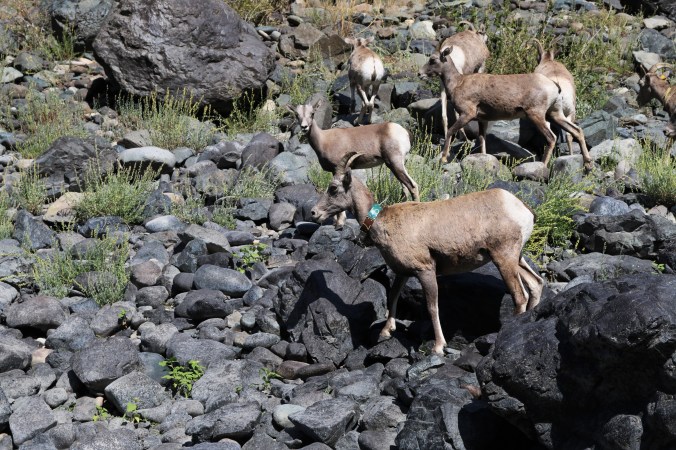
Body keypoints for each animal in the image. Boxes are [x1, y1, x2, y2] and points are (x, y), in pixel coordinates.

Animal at [287, 98, 420, 227]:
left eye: (312, 113)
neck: (323, 140)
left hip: (394, 163)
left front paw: (339, 223)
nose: (304, 127)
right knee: (405, 188)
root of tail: (404, 131)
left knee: (412, 186)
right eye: (297, 115)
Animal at [310, 152, 544, 355]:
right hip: (516, 258)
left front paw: (438, 347)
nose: (314, 213)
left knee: (520, 296)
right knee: (536, 284)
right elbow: (393, 296)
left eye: (333, 188)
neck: (381, 221)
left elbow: (432, 307)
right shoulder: (403, 272)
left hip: (503, 258)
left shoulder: (425, 270)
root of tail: (523, 209)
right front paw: (386, 332)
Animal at [420, 45, 592, 168]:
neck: (458, 83)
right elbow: (482, 141)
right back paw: (588, 163)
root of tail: (554, 85)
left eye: (433, 60)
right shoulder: (482, 120)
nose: (420, 74)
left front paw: (443, 158)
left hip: (537, 115)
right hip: (555, 114)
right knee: (576, 131)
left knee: (551, 138)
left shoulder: (467, 114)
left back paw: (542, 165)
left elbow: (450, 131)